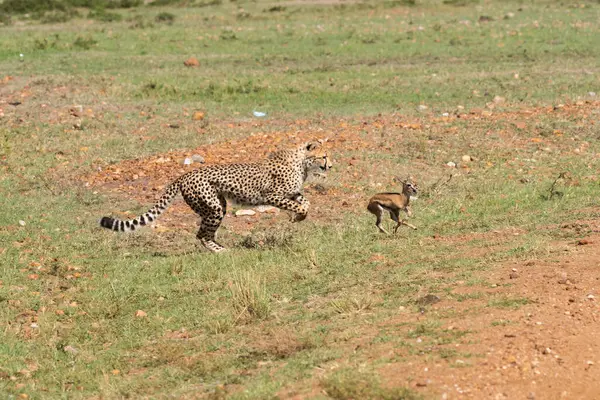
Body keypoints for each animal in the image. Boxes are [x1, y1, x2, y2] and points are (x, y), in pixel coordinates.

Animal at [99, 142, 332, 252]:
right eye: (323, 155)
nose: (330, 165)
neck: (302, 163)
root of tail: (184, 175)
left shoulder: (292, 193)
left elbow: (306, 203)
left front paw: (298, 217)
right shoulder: (271, 195)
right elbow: (299, 205)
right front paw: (297, 216)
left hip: (218, 205)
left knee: (205, 233)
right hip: (213, 207)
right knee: (201, 234)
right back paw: (221, 251)